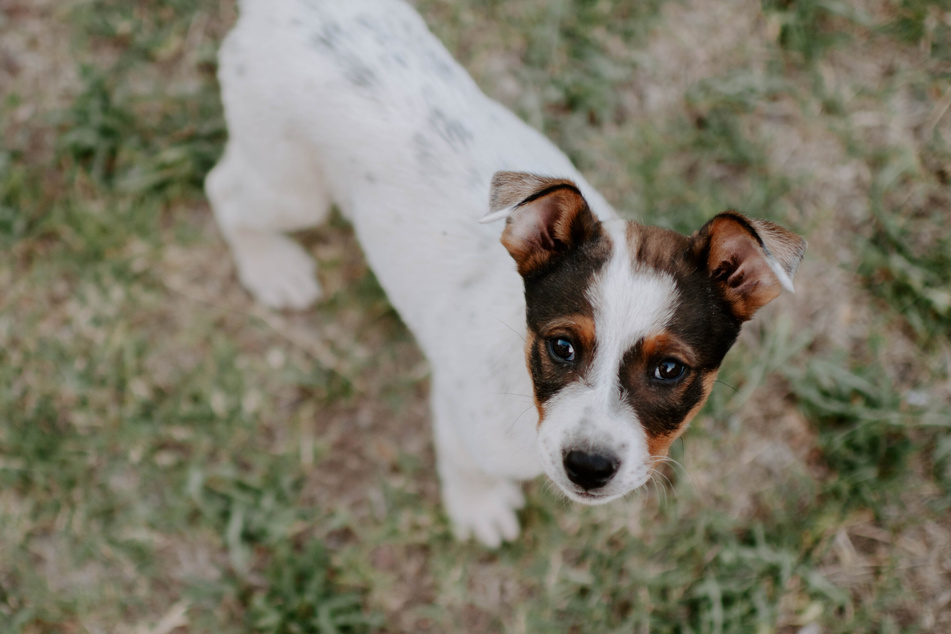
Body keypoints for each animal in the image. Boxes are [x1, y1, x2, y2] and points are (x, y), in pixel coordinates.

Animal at [206, 0, 804, 544]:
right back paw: (272, 267)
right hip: (291, 187)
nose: (588, 467)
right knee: (225, 191)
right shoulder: (457, 408)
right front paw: (478, 508)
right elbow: (465, 463)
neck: (519, 371)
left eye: (670, 370)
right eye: (562, 346)